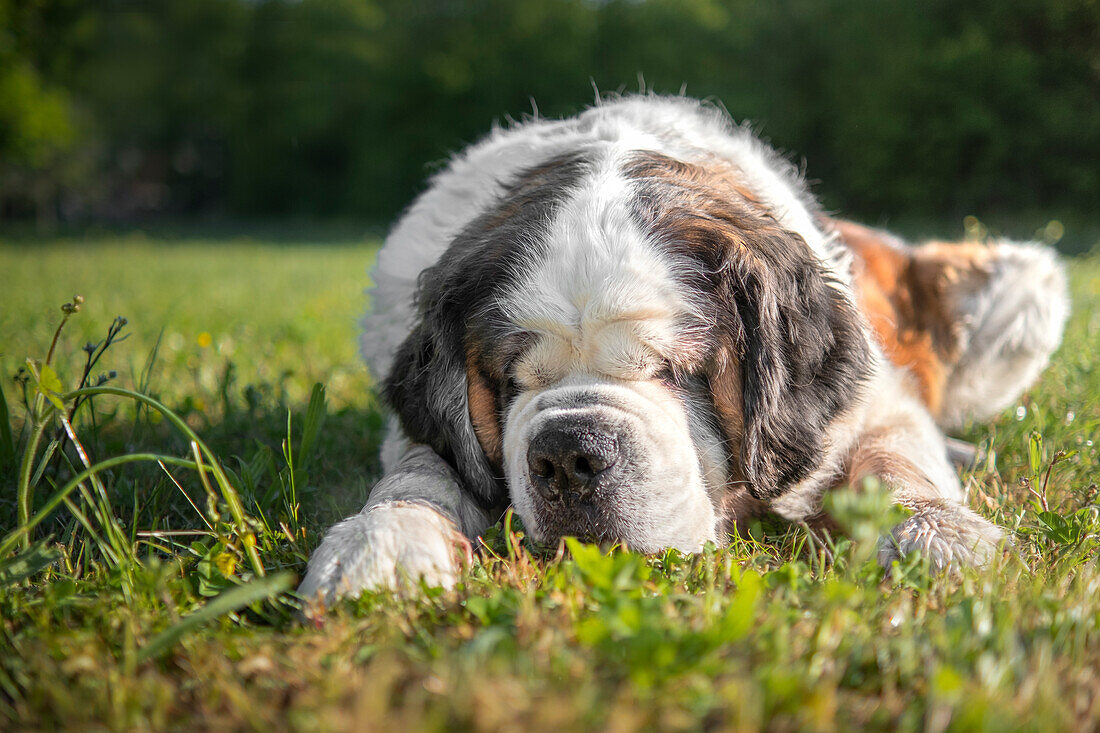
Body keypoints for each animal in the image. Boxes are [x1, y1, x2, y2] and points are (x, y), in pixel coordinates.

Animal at [297, 94, 1069, 603]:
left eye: (677, 371)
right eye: (512, 382)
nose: (567, 453)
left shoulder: (873, 406)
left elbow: (896, 463)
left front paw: (942, 540)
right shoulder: (417, 425)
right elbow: (421, 468)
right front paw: (381, 542)